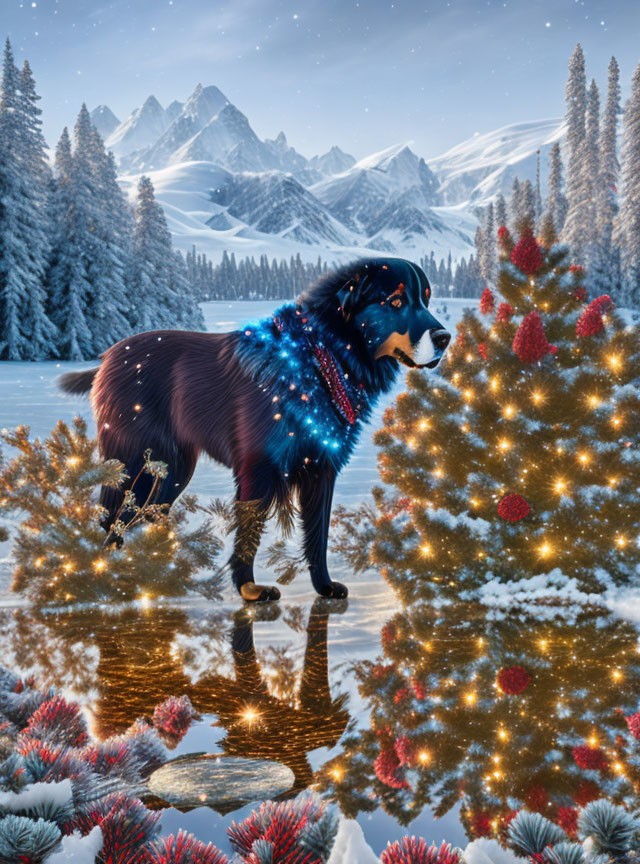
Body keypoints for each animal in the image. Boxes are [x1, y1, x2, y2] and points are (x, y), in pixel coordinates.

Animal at [60, 256, 450, 600]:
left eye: (426, 299)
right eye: (396, 301)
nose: (445, 337)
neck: (318, 358)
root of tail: (107, 359)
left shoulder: (321, 467)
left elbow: (317, 535)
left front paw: (323, 586)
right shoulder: (258, 466)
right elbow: (249, 532)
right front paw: (248, 589)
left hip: (173, 469)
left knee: (147, 514)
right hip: (137, 465)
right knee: (114, 520)